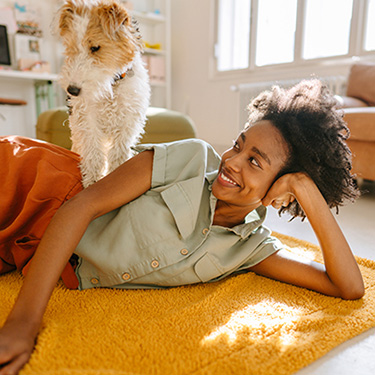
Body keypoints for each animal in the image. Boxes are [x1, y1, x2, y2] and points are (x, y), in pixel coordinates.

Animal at [57, 0, 150, 188]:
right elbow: (94, 154)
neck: (111, 86)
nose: (72, 90)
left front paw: (115, 175)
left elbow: (118, 153)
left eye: (95, 47)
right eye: (71, 47)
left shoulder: (128, 122)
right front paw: (92, 181)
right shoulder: (88, 120)